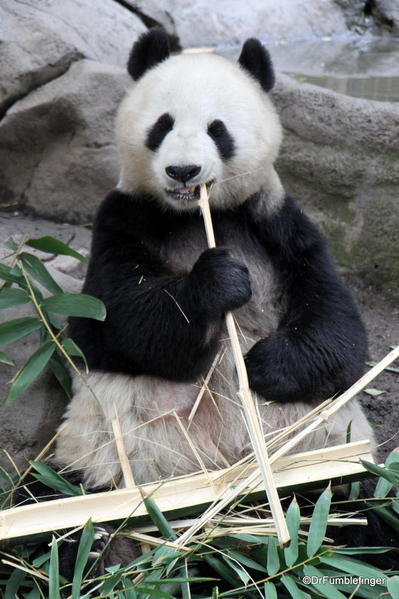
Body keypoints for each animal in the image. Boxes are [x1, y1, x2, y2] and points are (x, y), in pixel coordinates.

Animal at [39, 28, 396, 576]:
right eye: (162, 125)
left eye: (217, 129)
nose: (183, 170)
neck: (196, 215)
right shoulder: (122, 219)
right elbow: (116, 321)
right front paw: (218, 282)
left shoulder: (278, 221)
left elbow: (338, 330)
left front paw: (266, 365)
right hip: (106, 458)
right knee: (73, 508)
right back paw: (101, 553)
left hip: (329, 453)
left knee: (357, 496)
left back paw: (357, 535)